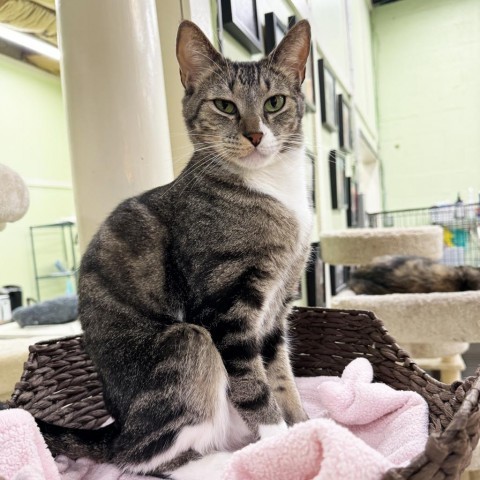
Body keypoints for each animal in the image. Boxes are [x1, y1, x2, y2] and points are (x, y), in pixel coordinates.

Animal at [39, 19, 314, 480]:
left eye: (275, 102)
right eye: (224, 106)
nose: (256, 134)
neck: (271, 188)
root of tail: (117, 428)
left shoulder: (277, 309)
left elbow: (281, 376)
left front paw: (309, 427)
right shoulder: (224, 305)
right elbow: (253, 384)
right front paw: (280, 445)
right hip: (188, 343)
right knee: (140, 459)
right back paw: (222, 461)